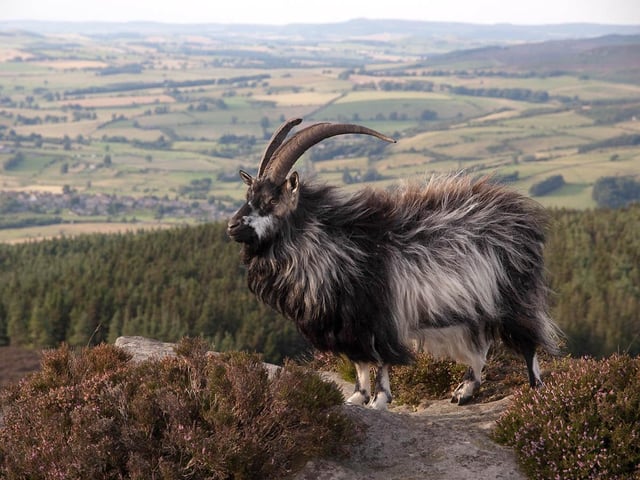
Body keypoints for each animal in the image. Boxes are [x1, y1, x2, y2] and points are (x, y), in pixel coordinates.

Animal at [227, 118, 563, 409]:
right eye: (248, 196)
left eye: (271, 201)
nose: (231, 226)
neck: (332, 244)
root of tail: (522, 216)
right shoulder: (349, 323)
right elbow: (360, 362)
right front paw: (357, 397)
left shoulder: (377, 316)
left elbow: (382, 361)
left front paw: (379, 400)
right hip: (476, 303)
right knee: (480, 344)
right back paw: (464, 391)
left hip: (512, 293)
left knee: (527, 341)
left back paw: (536, 390)